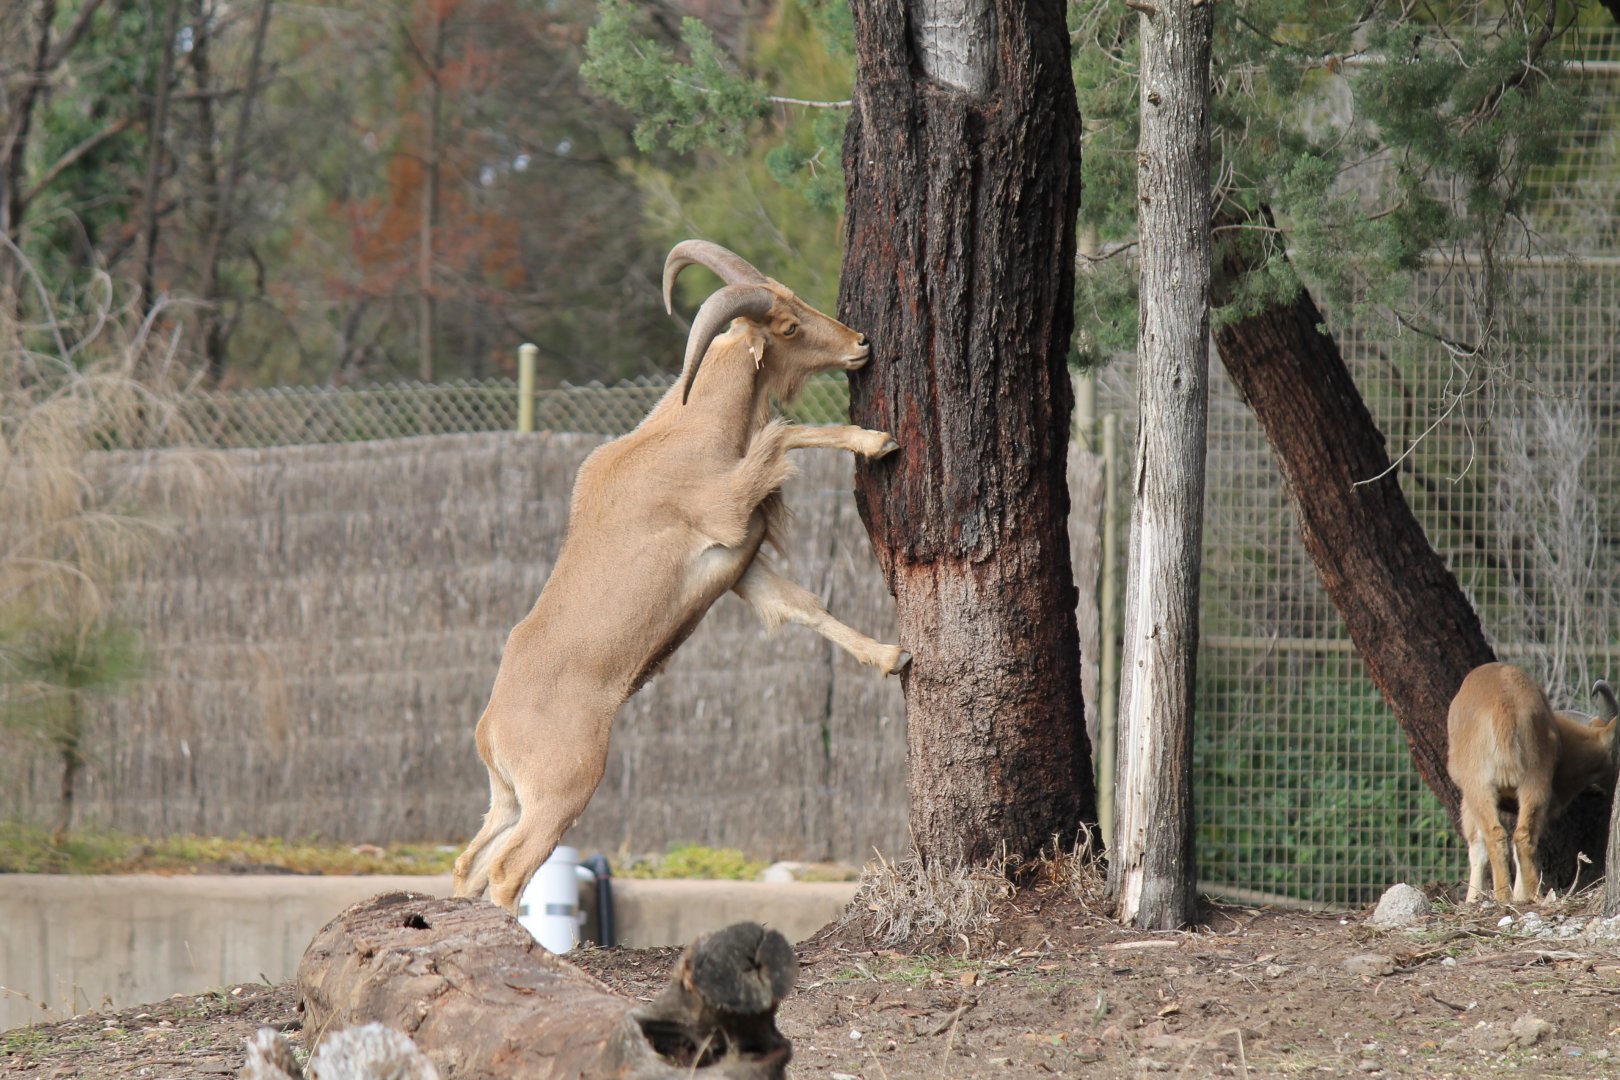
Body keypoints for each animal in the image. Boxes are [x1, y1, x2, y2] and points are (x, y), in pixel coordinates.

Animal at [453, 240, 910, 914]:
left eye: (795, 298)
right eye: (788, 326)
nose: (860, 342)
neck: (690, 429)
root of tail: (490, 733)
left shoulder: (740, 566)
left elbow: (804, 605)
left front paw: (893, 656)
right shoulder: (728, 512)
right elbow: (785, 435)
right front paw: (876, 439)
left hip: (509, 798)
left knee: (471, 862)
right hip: (562, 789)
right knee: (510, 869)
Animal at [1445, 661, 1620, 904]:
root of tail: (1504, 705)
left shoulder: (1467, 798)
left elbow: (1477, 848)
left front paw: (1472, 899)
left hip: (1480, 787)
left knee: (1496, 835)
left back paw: (1504, 896)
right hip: (1534, 781)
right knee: (1523, 836)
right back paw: (1530, 895)